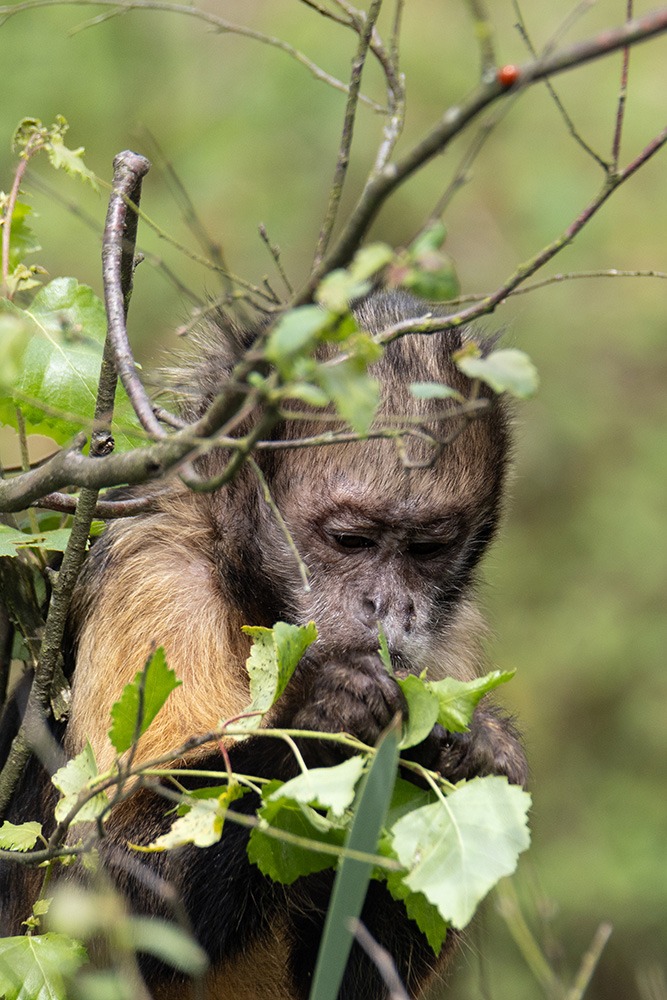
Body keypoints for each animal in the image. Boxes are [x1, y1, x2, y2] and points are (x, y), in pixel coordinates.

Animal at [1, 292, 528, 1000]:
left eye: (427, 549)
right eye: (352, 541)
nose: (391, 609)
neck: (251, 596)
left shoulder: (449, 643)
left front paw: (479, 751)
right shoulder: (153, 575)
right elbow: (94, 892)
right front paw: (323, 719)